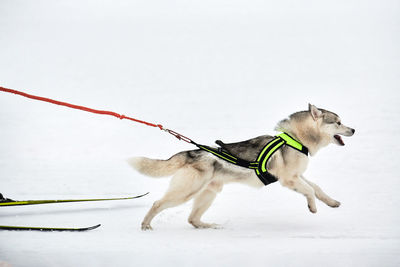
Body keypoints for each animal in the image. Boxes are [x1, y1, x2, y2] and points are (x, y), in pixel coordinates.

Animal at [130, 104, 354, 230]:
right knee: (157, 204)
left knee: (192, 219)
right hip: (186, 192)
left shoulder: (297, 176)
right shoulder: (289, 179)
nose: (353, 129)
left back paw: (209, 226)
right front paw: (313, 207)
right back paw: (146, 225)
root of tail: (191, 152)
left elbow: (316, 188)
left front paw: (331, 202)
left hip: (209, 193)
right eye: (338, 122)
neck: (296, 139)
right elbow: (309, 190)